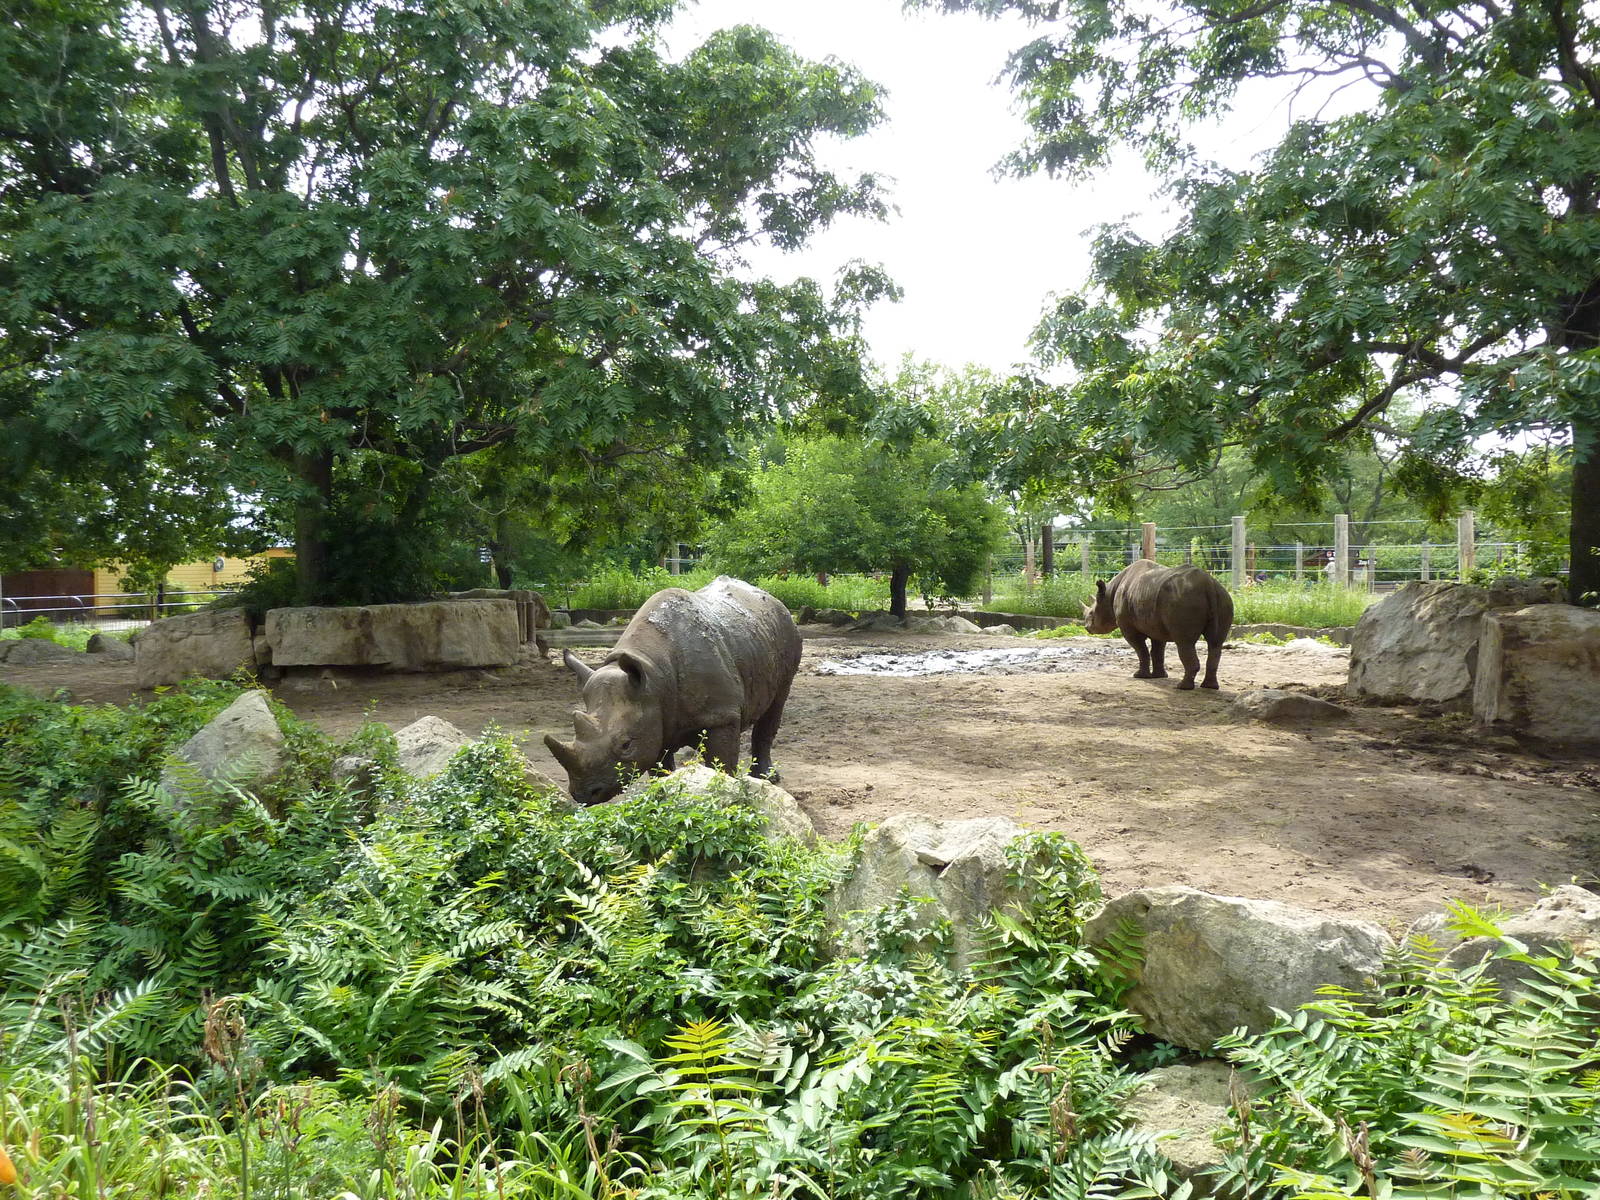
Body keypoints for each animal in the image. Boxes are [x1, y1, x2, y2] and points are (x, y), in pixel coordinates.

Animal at [544, 576, 803, 804]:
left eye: (626, 745)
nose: (584, 794)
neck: (654, 676)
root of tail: (772, 599)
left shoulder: (721, 716)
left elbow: (720, 765)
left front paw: (725, 797)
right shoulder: (653, 717)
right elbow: (660, 772)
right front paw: (664, 799)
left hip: (787, 630)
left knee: (777, 702)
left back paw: (767, 778)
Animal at [1082, 560, 1234, 690]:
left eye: (1091, 614)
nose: (1087, 628)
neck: (1109, 595)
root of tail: (1208, 585)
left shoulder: (1128, 626)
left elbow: (1141, 650)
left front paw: (1139, 676)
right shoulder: (1156, 624)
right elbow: (1157, 650)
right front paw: (1159, 676)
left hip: (1184, 600)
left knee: (1185, 643)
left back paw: (1182, 687)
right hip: (1223, 598)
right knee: (1215, 643)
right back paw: (1210, 687)